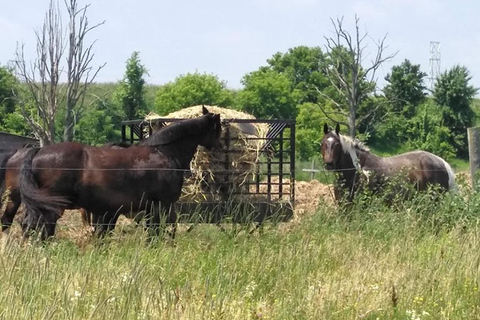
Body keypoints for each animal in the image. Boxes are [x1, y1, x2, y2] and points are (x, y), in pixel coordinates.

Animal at [18, 107, 221, 240]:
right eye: (218, 129)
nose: (219, 148)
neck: (164, 152)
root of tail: (38, 151)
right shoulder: (162, 205)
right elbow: (158, 231)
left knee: (29, 225)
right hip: (51, 206)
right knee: (42, 227)